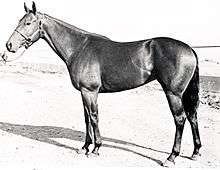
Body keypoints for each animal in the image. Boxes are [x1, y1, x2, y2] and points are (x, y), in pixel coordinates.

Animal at [5, 1, 201, 167]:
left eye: (28, 23)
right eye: (20, 21)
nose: (9, 46)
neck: (79, 48)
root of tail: (190, 49)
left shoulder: (90, 91)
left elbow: (93, 117)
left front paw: (96, 148)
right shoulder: (83, 92)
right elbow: (86, 118)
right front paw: (85, 147)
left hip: (173, 93)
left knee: (180, 119)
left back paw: (171, 157)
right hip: (182, 94)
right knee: (192, 116)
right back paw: (196, 152)